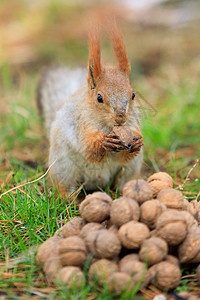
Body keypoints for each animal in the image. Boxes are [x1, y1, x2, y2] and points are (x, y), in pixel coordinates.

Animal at [37, 24, 144, 197]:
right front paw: (105, 141)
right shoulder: (81, 124)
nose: (121, 117)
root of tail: (97, 182)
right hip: (63, 167)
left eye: (133, 94)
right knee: (65, 187)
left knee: (124, 180)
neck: (109, 126)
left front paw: (137, 140)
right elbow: (88, 147)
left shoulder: (133, 123)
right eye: (99, 97)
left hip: (131, 168)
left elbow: (126, 153)